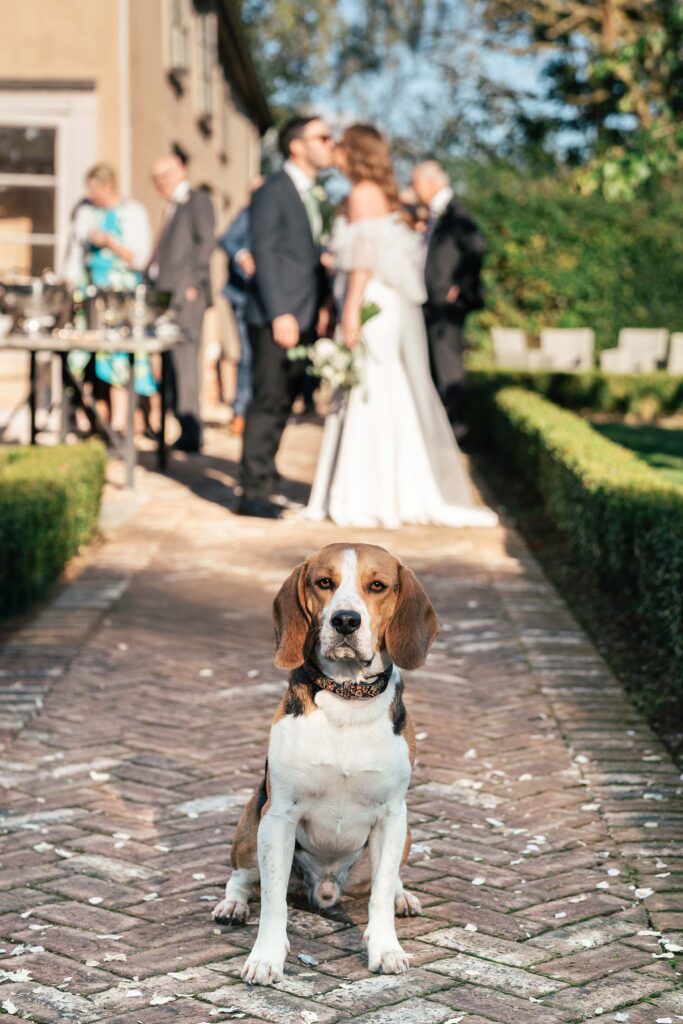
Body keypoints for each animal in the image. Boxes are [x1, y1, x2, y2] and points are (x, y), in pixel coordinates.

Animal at [210, 544, 440, 983]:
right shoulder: (278, 815)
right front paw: (266, 957)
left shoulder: (392, 815)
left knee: (388, 881)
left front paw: (385, 949)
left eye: (377, 586)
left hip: (405, 834)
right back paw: (232, 905)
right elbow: (273, 901)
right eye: (324, 582)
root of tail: (326, 887)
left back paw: (402, 896)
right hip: (251, 822)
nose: (346, 620)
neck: (347, 697)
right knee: (241, 878)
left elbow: (380, 893)